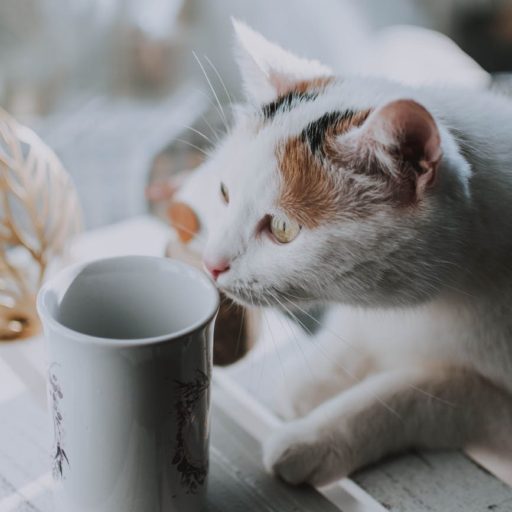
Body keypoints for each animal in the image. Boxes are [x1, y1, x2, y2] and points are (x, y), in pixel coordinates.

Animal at [180, 20, 512, 484]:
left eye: (283, 229)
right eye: (225, 193)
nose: (211, 265)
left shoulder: (495, 410)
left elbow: (424, 391)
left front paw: (312, 437)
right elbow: (355, 335)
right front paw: (310, 384)